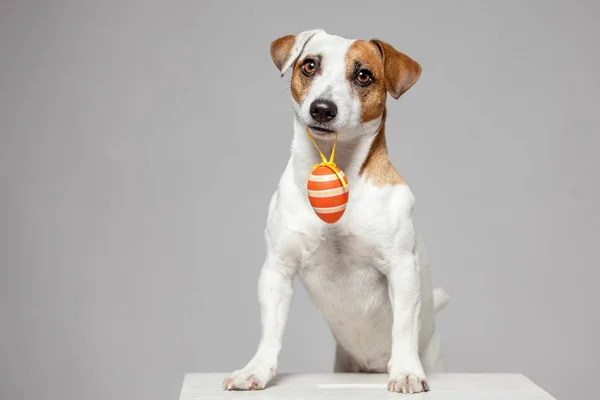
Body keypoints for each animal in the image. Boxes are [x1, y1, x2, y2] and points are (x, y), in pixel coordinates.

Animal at [223, 28, 448, 394]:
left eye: (363, 75)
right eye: (310, 65)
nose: (322, 109)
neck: (337, 163)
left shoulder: (401, 269)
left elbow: (403, 328)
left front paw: (405, 372)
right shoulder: (277, 270)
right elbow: (270, 330)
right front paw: (255, 370)